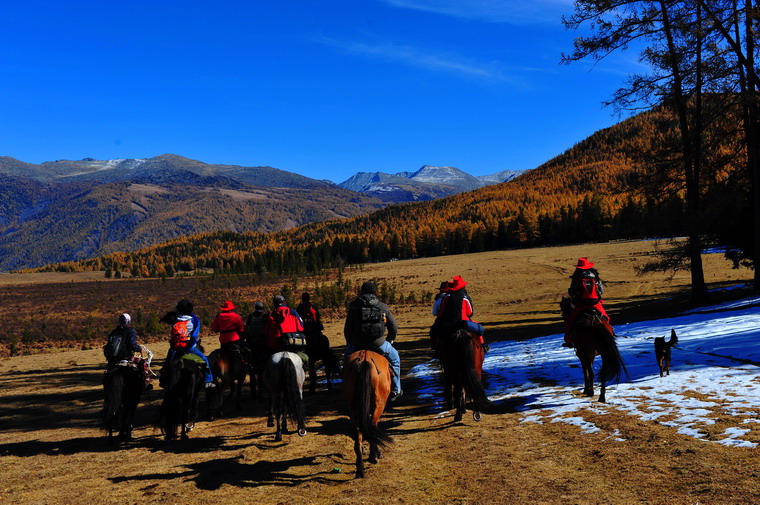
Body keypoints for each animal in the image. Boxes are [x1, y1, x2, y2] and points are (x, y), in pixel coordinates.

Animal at [342, 348, 392, 478]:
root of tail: (365, 358)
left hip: (353, 408)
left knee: (358, 432)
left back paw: (360, 468)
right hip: (379, 404)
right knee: (373, 425)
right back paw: (373, 457)